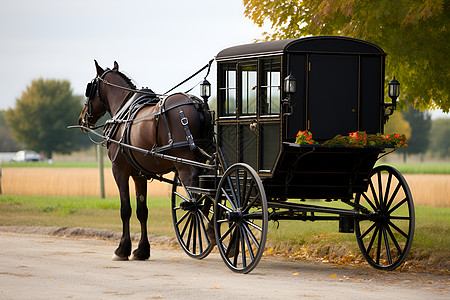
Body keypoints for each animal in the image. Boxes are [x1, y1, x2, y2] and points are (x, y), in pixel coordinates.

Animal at [78, 61, 214, 260]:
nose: (82, 119)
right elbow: (142, 211)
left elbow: (125, 209)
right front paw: (142, 250)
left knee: (198, 194)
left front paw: (122, 249)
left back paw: (207, 228)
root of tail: (197, 105)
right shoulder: (139, 175)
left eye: (90, 88)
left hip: (184, 163)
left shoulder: (119, 170)